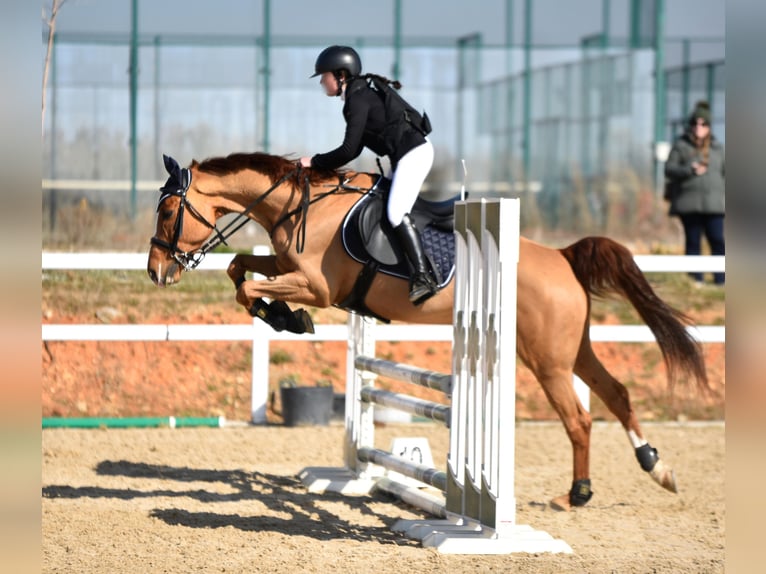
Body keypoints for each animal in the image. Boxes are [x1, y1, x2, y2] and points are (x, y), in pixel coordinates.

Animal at [147, 151, 712, 510]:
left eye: (170, 210)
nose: (156, 271)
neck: (301, 206)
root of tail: (563, 257)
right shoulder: (287, 267)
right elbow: (239, 268)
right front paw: (278, 313)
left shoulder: (317, 287)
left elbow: (249, 287)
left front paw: (286, 317)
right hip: (572, 349)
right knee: (616, 394)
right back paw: (656, 468)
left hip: (546, 359)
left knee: (579, 418)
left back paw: (577, 495)